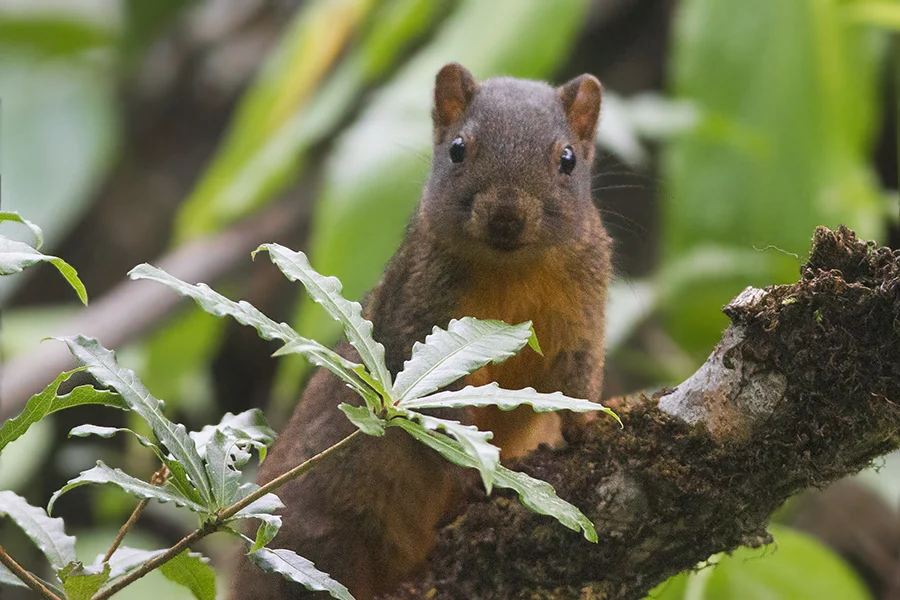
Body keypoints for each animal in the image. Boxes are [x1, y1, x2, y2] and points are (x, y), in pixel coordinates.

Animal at [229, 63, 612, 600]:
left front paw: (588, 425)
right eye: (457, 149)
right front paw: (470, 470)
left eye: (568, 159)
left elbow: (578, 376)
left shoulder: (584, 310)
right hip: (318, 533)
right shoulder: (419, 314)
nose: (507, 216)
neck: (512, 271)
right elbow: (444, 409)